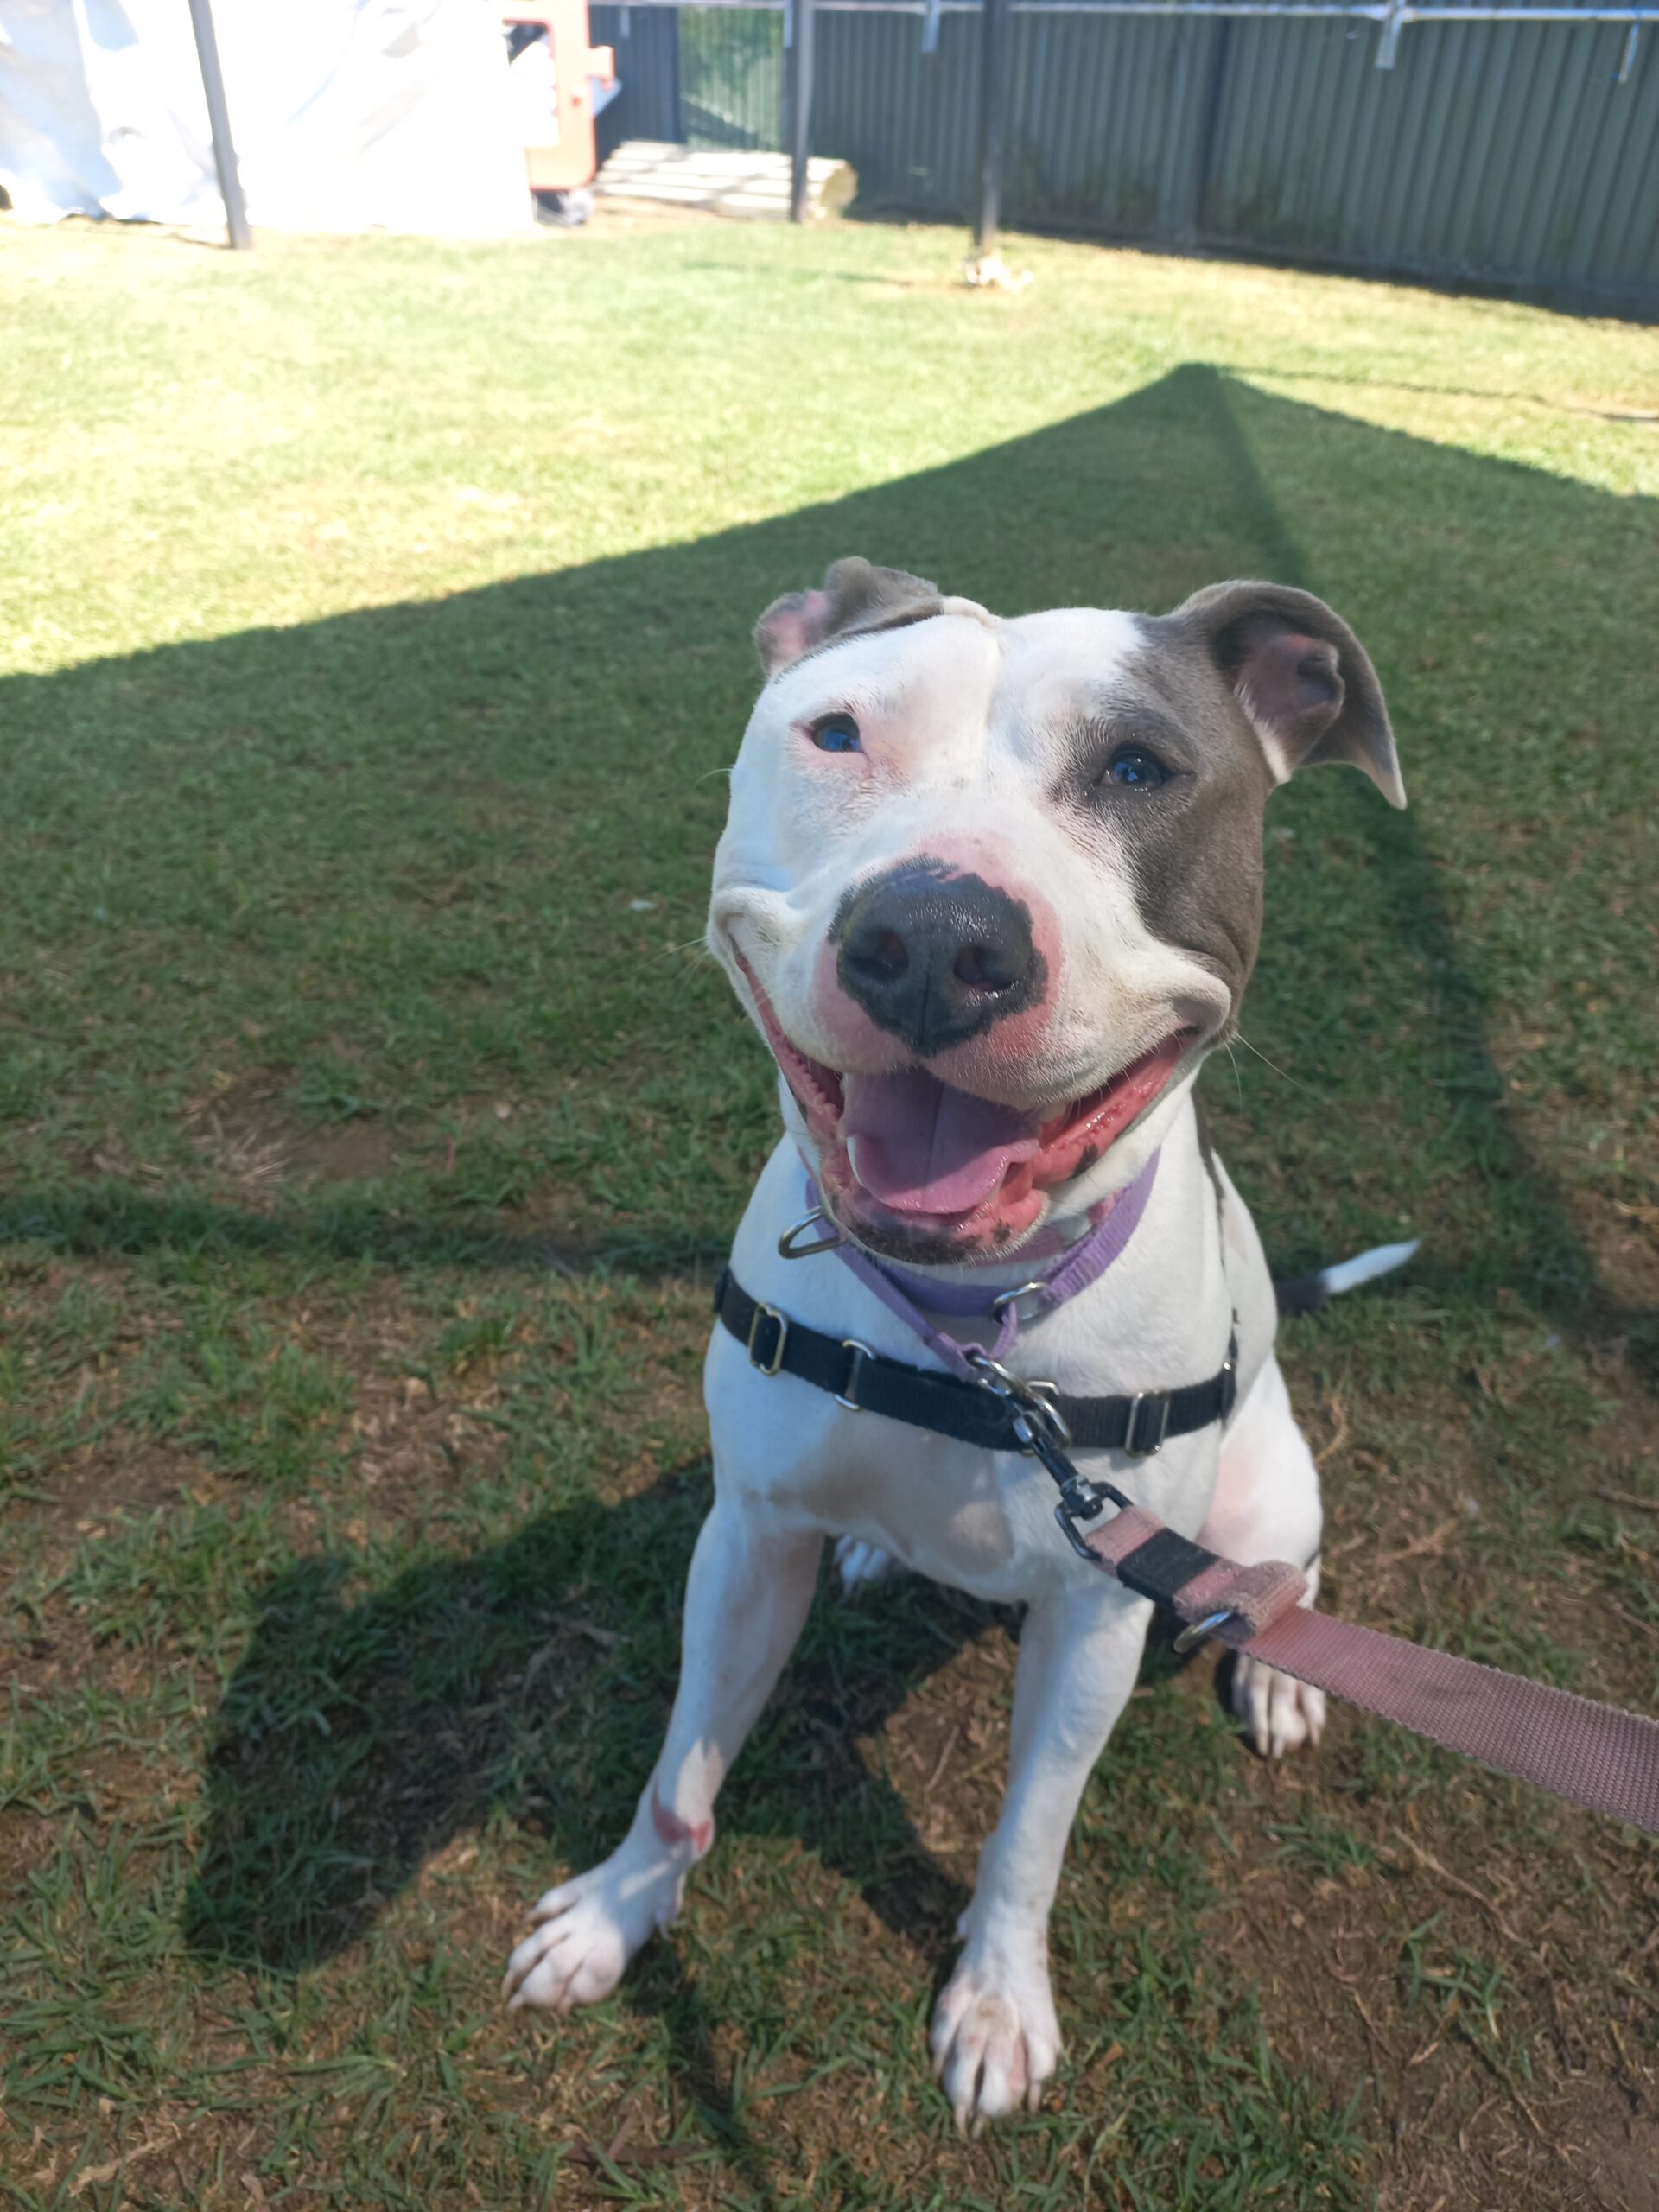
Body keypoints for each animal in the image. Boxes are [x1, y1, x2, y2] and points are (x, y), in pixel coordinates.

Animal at [504, 559, 1406, 2129]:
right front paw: (620, 1910)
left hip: (1266, 1495)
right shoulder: (745, 1537)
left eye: (1138, 768)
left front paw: (995, 2001)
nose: (937, 943)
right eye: (837, 733)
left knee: (1287, 1571)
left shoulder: (1097, 1622)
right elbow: (684, 1765)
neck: (975, 1331)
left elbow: (1029, 1835)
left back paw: (1285, 1666)